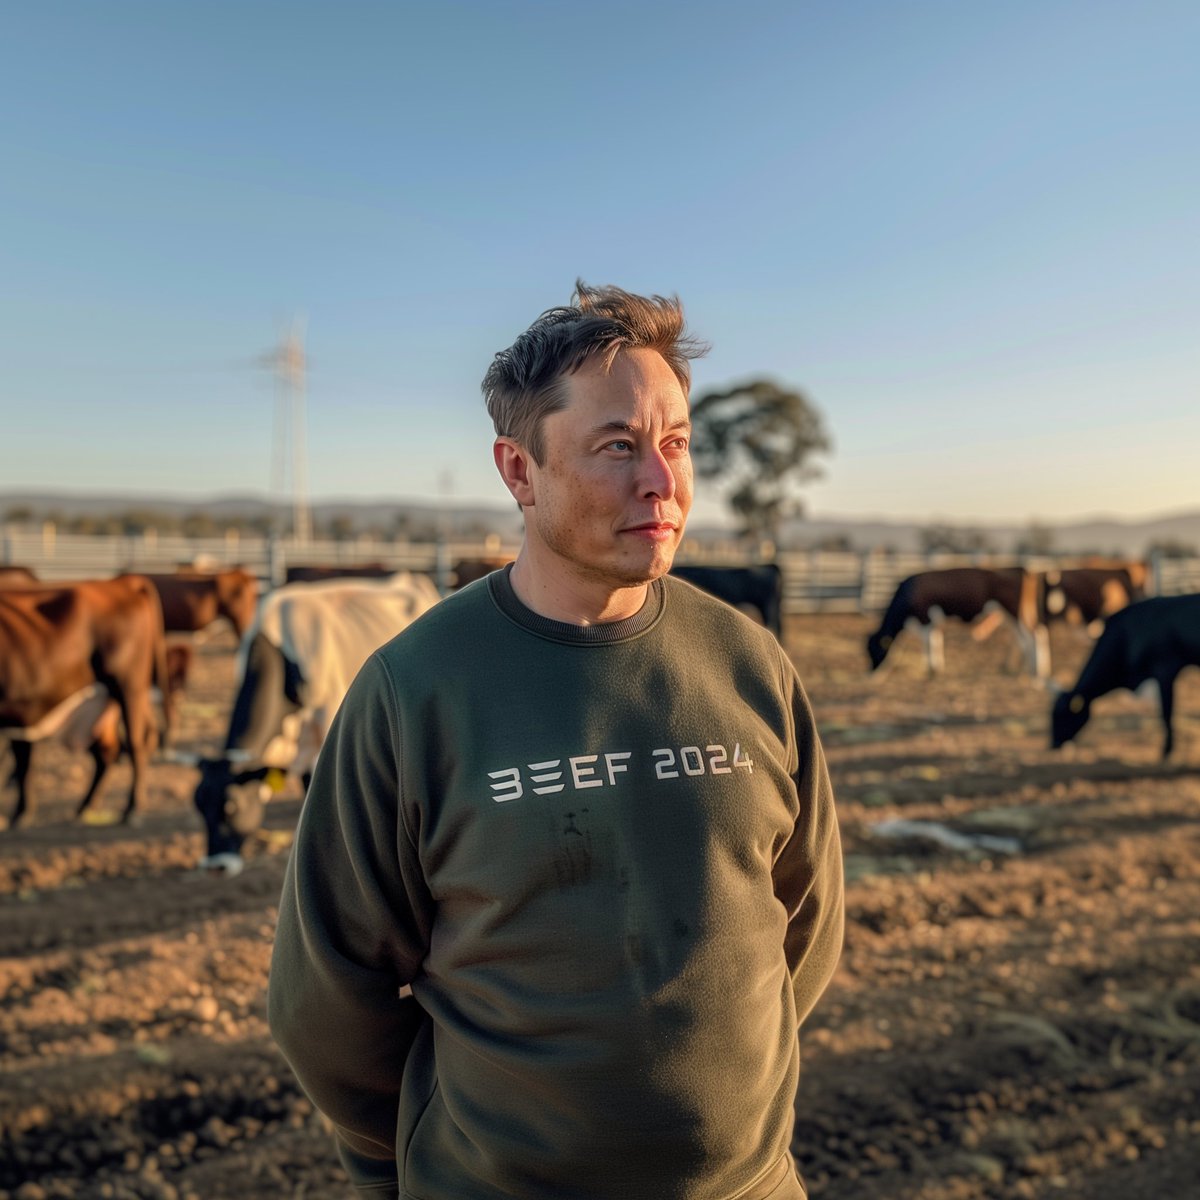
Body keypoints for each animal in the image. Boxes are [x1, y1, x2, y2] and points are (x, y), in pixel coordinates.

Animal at [0, 573, 174, 825]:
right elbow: (23, 762)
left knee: (136, 742)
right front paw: (22, 813)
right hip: (101, 705)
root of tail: (122, 582)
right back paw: (84, 806)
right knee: (108, 752)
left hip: (128, 687)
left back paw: (132, 808)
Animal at [868, 568, 1046, 681]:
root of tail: (1020, 569)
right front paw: (937, 669)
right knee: (1030, 636)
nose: (870, 673)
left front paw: (931, 671)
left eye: (875, 650)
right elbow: (936, 643)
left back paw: (1030, 672)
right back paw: (1030, 670)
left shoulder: (925, 621)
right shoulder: (934, 624)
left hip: (1013, 612)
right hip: (1011, 615)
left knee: (1032, 637)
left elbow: (928, 645)